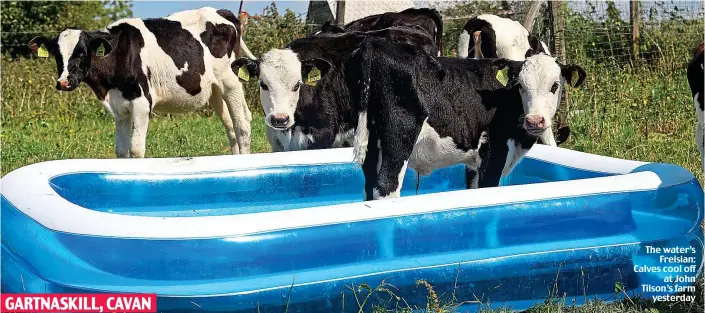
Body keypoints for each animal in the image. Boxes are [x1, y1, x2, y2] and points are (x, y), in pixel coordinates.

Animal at [30, 6, 258, 158]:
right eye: (56, 54)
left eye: (81, 52)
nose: (63, 82)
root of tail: (222, 12)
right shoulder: (118, 107)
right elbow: (121, 151)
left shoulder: (141, 103)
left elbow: (136, 149)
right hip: (214, 90)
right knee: (229, 125)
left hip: (230, 80)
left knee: (242, 124)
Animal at [350, 38, 584, 200]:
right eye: (520, 85)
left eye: (555, 85)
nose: (535, 120)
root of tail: (376, 42)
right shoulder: (493, 153)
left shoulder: (474, 164)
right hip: (400, 137)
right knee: (385, 187)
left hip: (371, 146)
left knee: (369, 187)